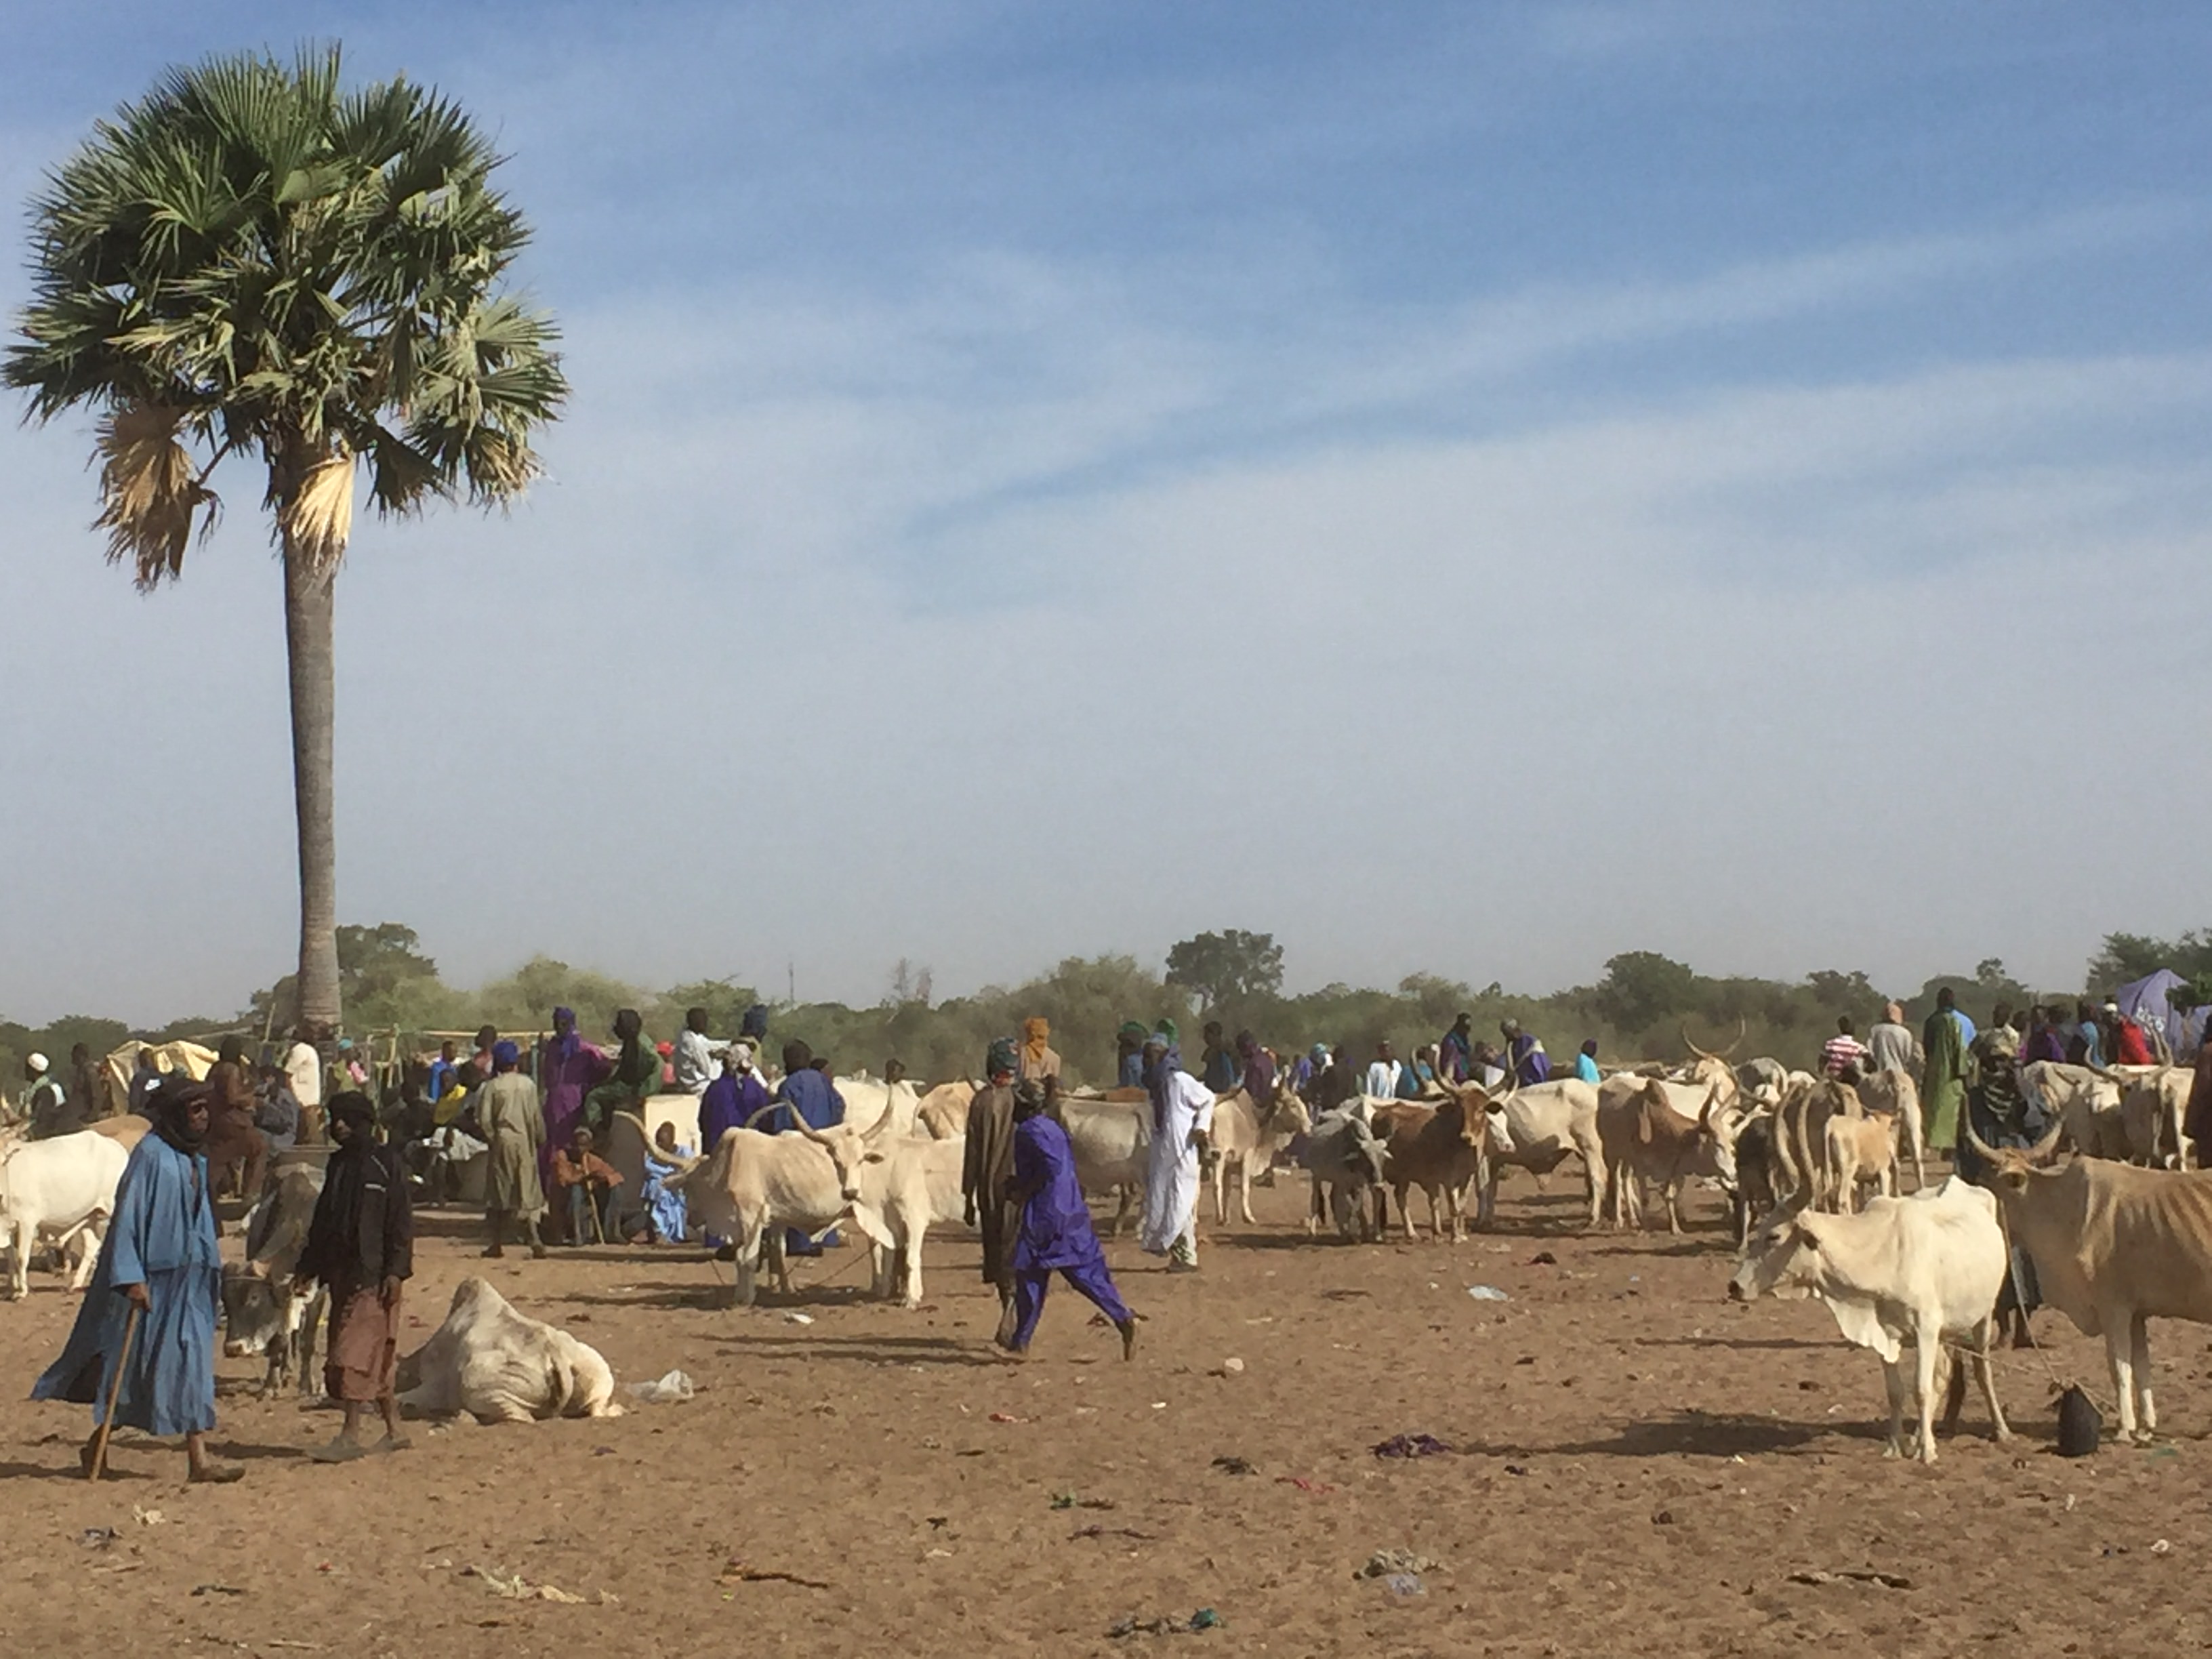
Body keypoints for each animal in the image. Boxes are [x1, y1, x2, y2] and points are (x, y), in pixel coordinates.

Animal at [0, 1141, 128, 1309]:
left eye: (2, 1163)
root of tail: (120, 1150)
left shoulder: (27, 1222)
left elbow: (21, 1257)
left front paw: (22, 1292)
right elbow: (10, 1256)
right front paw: (10, 1288)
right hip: (91, 1214)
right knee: (91, 1246)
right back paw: (75, 1284)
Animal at [396, 1283, 619, 1425]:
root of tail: (556, 1355)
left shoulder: (435, 1385)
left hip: (478, 1385)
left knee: (521, 1417)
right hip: (597, 1373)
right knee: (598, 1409)